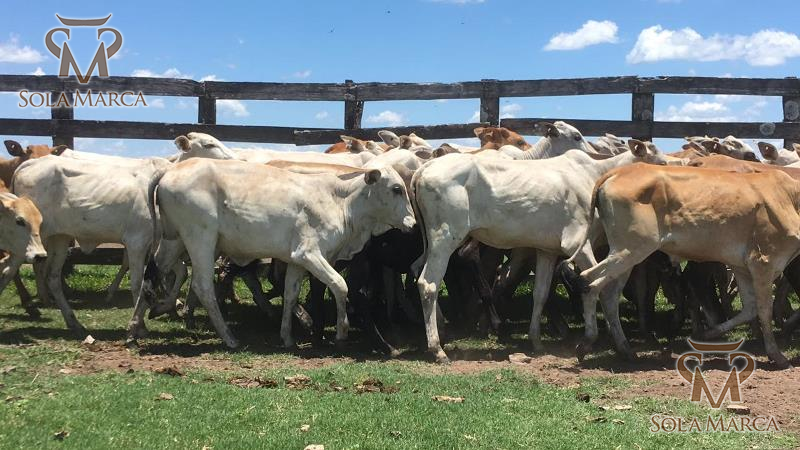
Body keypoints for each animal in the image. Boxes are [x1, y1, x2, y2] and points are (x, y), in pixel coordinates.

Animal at [140, 158, 415, 349]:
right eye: (396, 189)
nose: (412, 223)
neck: (340, 201)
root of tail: (171, 170)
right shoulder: (309, 254)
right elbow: (340, 285)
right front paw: (341, 333)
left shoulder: (297, 261)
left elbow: (291, 295)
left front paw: (287, 337)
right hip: (201, 240)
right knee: (202, 286)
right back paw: (229, 338)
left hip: (174, 240)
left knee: (153, 273)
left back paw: (139, 325)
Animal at [412, 140, 671, 362]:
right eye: (659, 162)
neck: (594, 177)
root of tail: (424, 168)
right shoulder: (577, 244)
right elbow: (599, 288)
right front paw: (611, 343)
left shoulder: (547, 250)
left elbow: (541, 292)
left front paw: (536, 340)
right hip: (445, 238)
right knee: (428, 283)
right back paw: (437, 349)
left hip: (432, 243)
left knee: (417, 271)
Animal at [561, 164, 800, 368]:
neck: (790, 198)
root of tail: (619, 171)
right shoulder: (764, 262)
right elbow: (764, 310)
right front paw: (777, 356)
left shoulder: (742, 267)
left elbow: (749, 309)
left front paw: (703, 335)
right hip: (630, 249)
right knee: (589, 281)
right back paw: (587, 343)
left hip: (626, 255)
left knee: (608, 294)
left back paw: (625, 349)